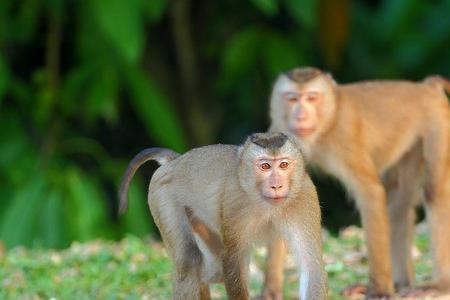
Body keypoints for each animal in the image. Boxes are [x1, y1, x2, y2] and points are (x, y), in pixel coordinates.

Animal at [118, 132, 326, 298]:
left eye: (284, 165)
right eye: (265, 166)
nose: (277, 185)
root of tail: (175, 161)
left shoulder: (305, 196)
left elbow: (311, 266)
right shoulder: (235, 200)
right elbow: (233, 260)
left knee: (213, 270)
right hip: (162, 193)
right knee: (189, 259)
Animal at [264, 67, 450, 298]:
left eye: (311, 98)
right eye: (292, 99)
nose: (301, 116)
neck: (328, 122)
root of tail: (426, 86)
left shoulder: (345, 134)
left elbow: (371, 193)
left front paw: (379, 289)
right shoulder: (280, 135)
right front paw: (270, 290)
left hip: (438, 122)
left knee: (434, 192)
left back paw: (440, 284)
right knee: (400, 203)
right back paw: (401, 283)